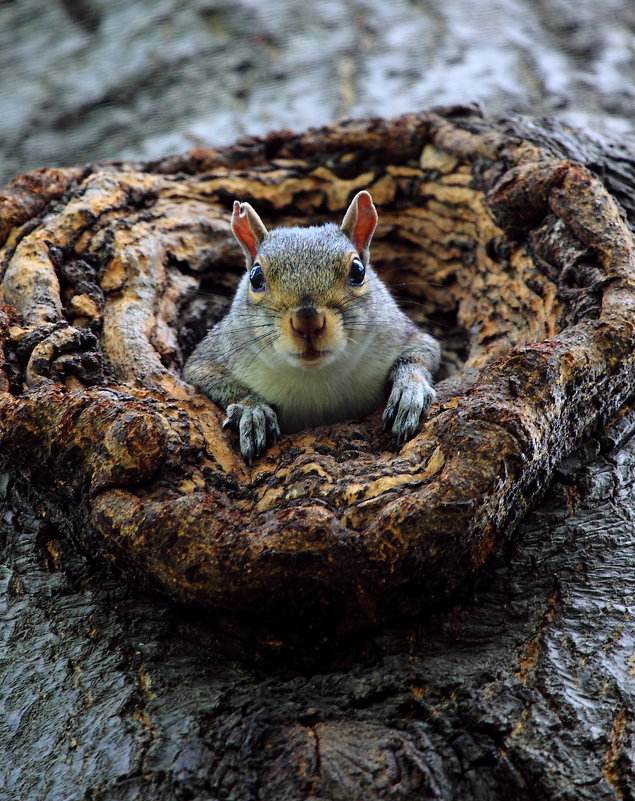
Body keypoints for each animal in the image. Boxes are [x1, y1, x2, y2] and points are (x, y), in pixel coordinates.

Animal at [184, 191, 442, 462]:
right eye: (255, 277)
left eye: (358, 271)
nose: (307, 321)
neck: (315, 376)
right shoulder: (208, 359)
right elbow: (210, 379)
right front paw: (251, 410)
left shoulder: (403, 335)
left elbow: (420, 355)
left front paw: (409, 389)